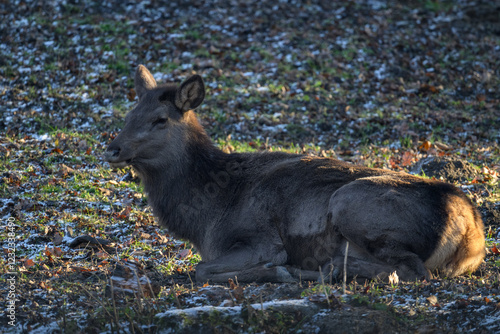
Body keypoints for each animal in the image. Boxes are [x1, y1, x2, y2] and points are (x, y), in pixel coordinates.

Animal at [104, 66, 484, 284]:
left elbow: (202, 270)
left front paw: (277, 270)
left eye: (160, 119)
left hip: (349, 202)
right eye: (129, 113)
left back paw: (325, 269)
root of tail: (471, 233)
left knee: (408, 270)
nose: (112, 148)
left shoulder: (259, 239)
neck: (205, 218)